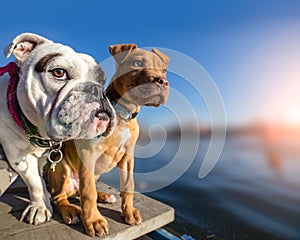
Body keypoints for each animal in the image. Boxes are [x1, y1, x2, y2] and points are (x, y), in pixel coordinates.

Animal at [46, 43, 169, 236]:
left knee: (79, 192)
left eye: (164, 70)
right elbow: (88, 193)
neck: (123, 114)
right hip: (61, 168)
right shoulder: (88, 154)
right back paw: (71, 211)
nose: (162, 81)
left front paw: (129, 212)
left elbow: (129, 185)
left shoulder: (128, 157)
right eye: (138, 63)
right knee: (60, 197)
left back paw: (103, 196)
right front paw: (94, 221)